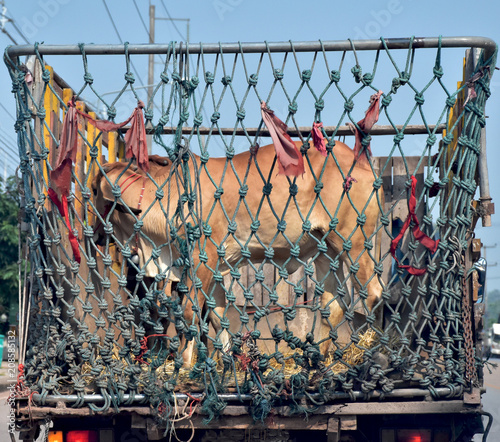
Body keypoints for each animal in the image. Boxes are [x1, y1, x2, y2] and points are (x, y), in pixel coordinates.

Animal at [93, 142, 382, 366]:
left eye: (95, 189)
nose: (96, 235)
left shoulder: (201, 259)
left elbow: (189, 311)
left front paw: (185, 362)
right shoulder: (217, 267)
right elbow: (217, 316)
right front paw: (226, 359)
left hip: (354, 242)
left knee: (373, 294)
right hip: (326, 250)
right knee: (333, 306)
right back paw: (316, 359)